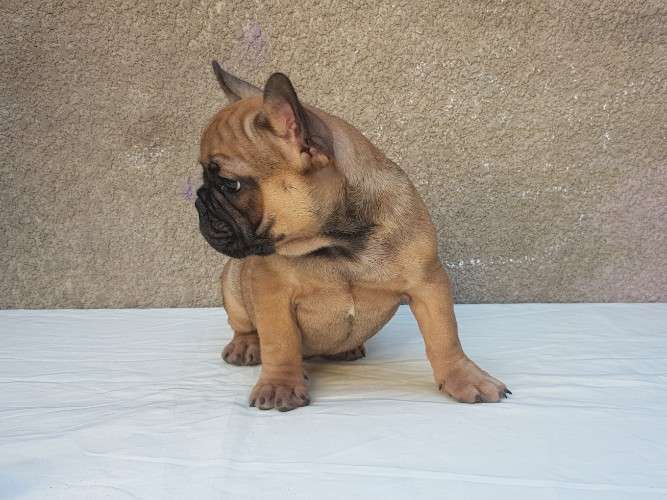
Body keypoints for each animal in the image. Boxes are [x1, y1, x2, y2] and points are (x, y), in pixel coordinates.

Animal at [195, 61, 510, 411]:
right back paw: (246, 346)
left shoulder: (428, 284)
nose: (198, 199)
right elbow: (279, 342)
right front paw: (280, 384)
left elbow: (445, 336)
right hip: (233, 283)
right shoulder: (269, 290)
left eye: (229, 184)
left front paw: (465, 378)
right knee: (243, 325)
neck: (339, 243)